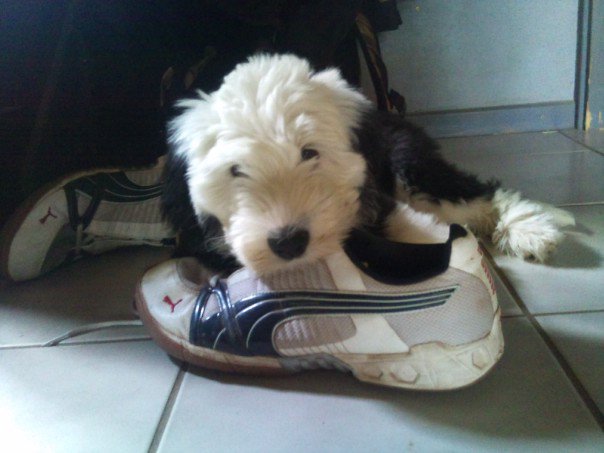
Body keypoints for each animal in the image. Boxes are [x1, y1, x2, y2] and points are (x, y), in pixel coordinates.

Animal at [162, 54, 574, 276]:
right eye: (235, 171)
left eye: (309, 153)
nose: (289, 242)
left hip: (410, 164)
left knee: (477, 193)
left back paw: (529, 230)